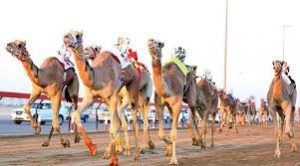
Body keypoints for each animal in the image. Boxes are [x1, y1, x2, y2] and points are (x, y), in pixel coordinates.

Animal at [63, 30, 141, 164]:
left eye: (78, 35)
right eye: (68, 33)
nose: (66, 37)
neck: (97, 77)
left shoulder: (113, 97)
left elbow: (113, 127)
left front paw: (114, 160)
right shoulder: (90, 98)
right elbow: (76, 115)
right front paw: (92, 148)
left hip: (130, 91)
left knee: (130, 122)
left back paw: (133, 154)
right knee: (120, 122)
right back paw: (112, 152)